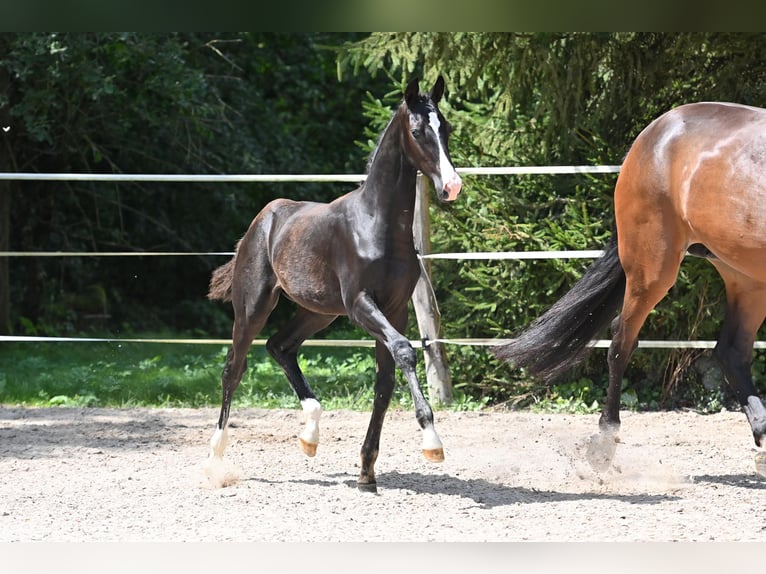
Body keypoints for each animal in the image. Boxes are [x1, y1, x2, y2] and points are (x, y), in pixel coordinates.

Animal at [207, 75, 464, 490]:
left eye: (447, 128)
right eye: (417, 131)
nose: (452, 186)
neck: (377, 225)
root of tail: (263, 219)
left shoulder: (395, 308)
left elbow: (385, 380)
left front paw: (366, 471)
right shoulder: (360, 304)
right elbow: (405, 351)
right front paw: (432, 442)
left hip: (319, 311)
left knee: (280, 346)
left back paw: (310, 435)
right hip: (253, 306)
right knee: (234, 367)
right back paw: (215, 459)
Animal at [496, 102, 766, 476]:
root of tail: (652, 134)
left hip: (746, 276)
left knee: (732, 352)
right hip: (651, 267)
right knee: (621, 342)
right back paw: (604, 445)